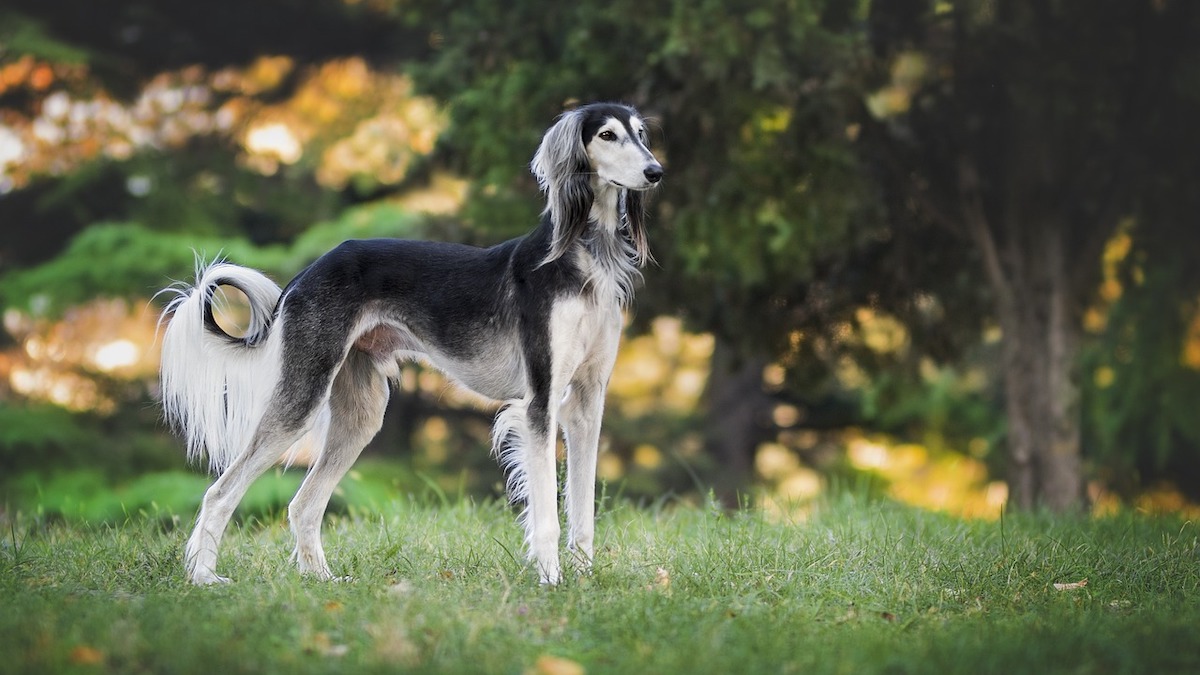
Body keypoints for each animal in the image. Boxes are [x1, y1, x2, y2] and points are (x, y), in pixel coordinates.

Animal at [157, 102, 667, 581]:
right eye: (606, 135)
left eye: (641, 134)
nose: (655, 172)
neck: (582, 255)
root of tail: (307, 272)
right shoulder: (539, 404)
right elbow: (547, 514)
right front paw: (550, 580)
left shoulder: (586, 402)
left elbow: (583, 509)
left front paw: (582, 578)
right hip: (302, 396)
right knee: (220, 491)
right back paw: (203, 577)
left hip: (361, 413)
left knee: (303, 504)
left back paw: (322, 580)